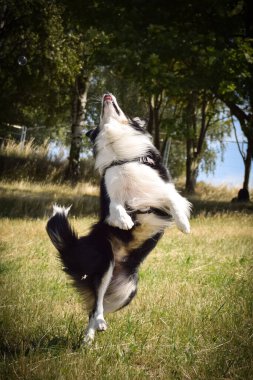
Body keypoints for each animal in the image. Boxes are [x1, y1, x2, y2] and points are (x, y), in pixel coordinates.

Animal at [46, 93, 191, 344]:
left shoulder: (161, 192)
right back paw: (94, 331)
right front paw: (125, 221)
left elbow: (174, 200)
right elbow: (115, 207)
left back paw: (90, 336)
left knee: (97, 305)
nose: (107, 94)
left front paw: (184, 224)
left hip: (128, 290)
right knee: (96, 305)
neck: (122, 157)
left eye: (121, 108)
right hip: (105, 261)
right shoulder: (109, 198)